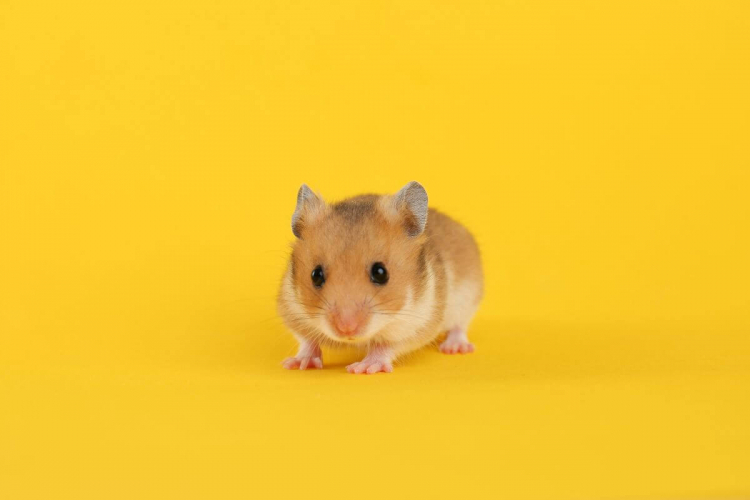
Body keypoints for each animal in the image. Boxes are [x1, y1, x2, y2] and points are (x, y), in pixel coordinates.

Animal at [277, 181, 483, 374]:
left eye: (380, 273)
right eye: (316, 275)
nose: (346, 329)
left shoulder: (417, 324)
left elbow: (385, 345)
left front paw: (362, 368)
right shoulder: (292, 310)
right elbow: (307, 341)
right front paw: (296, 364)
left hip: (467, 299)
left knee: (459, 326)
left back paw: (455, 348)